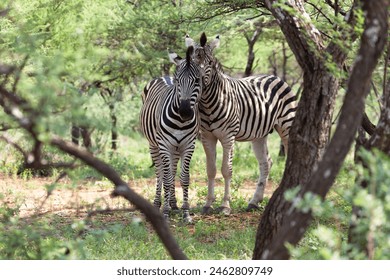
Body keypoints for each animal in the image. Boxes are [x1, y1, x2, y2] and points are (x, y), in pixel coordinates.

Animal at [140, 45, 203, 221]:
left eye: (197, 80)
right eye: (178, 81)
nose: (185, 112)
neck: (180, 122)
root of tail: (164, 76)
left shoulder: (189, 145)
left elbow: (184, 178)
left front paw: (186, 213)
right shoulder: (164, 145)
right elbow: (167, 179)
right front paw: (165, 213)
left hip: (176, 148)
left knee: (173, 170)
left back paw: (173, 203)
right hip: (154, 145)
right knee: (160, 172)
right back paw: (158, 204)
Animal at [187, 34, 298, 215]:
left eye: (209, 62)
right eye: (192, 62)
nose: (199, 84)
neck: (208, 103)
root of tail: (274, 76)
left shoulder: (228, 136)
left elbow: (226, 170)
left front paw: (225, 205)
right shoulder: (207, 137)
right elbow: (211, 170)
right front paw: (208, 204)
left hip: (286, 125)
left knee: (290, 156)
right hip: (259, 134)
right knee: (266, 163)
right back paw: (254, 201)